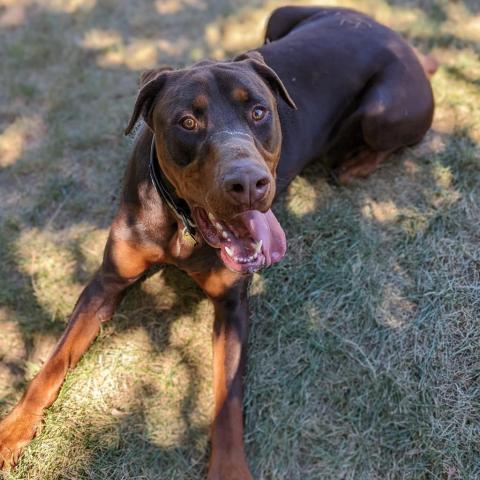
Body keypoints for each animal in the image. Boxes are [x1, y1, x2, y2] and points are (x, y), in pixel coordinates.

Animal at [0, 5, 436, 478]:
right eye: (188, 122)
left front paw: (228, 468)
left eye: (260, 112)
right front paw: (13, 430)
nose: (247, 184)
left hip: (383, 111)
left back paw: (353, 165)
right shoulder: (107, 281)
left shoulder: (232, 305)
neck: (181, 226)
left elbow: (227, 399)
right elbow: (54, 361)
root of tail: (398, 37)